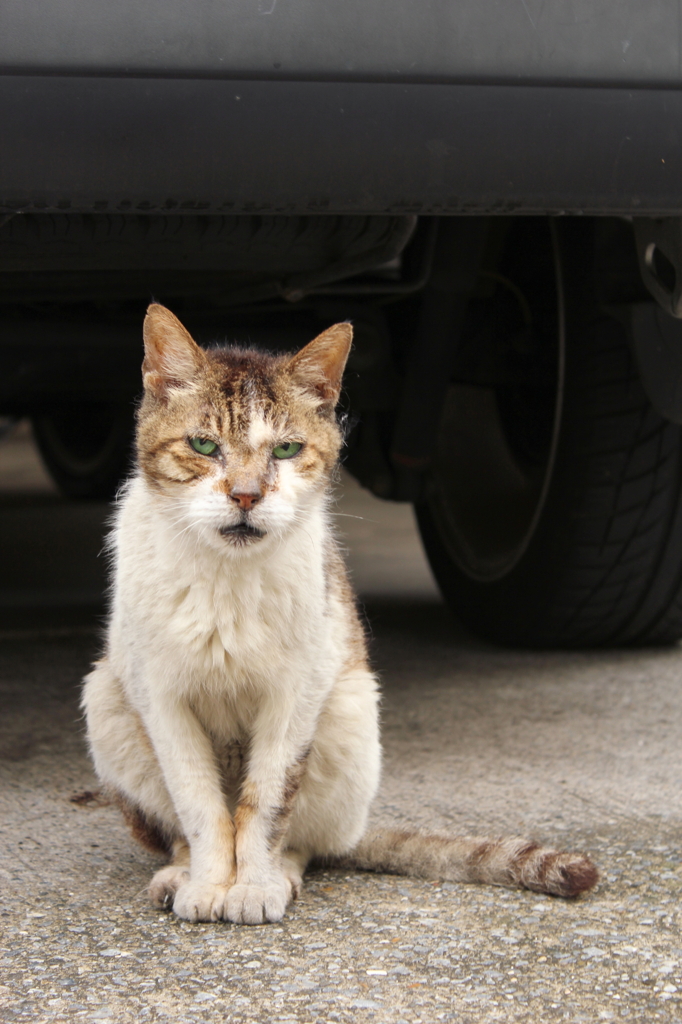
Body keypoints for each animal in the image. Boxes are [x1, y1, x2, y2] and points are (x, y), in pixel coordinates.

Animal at [80, 303, 593, 929]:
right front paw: (207, 884)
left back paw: (283, 873)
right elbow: (200, 804)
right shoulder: (161, 697)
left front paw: (253, 887)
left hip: (350, 708)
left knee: (311, 842)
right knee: (179, 826)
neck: (228, 578)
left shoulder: (297, 693)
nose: (246, 496)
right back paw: (178, 873)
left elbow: (265, 805)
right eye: (203, 445)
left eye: (285, 451)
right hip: (106, 697)